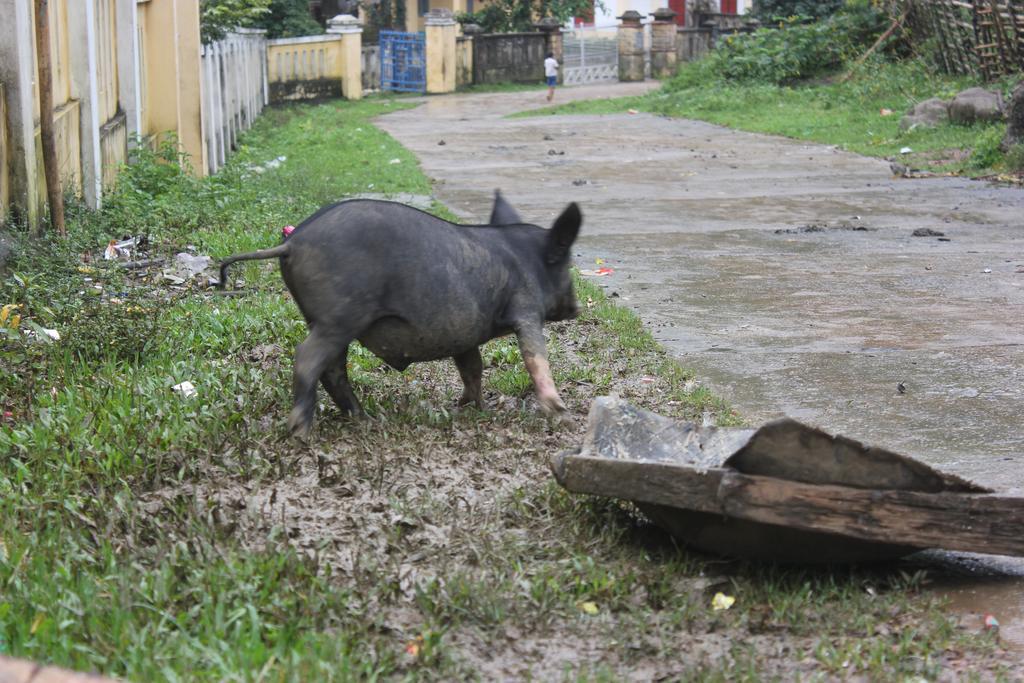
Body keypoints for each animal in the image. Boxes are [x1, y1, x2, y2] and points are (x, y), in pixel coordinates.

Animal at [219, 192, 581, 438]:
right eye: (566, 264)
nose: (575, 309)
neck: (528, 258)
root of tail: (293, 243)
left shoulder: (465, 333)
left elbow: (472, 368)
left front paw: (472, 407)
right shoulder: (526, 308)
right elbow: (536, 359)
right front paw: (564, 417)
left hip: (324, 320)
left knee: (332, 369)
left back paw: (364, 419)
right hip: (339, 318)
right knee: (307, 358)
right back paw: (302, 431)